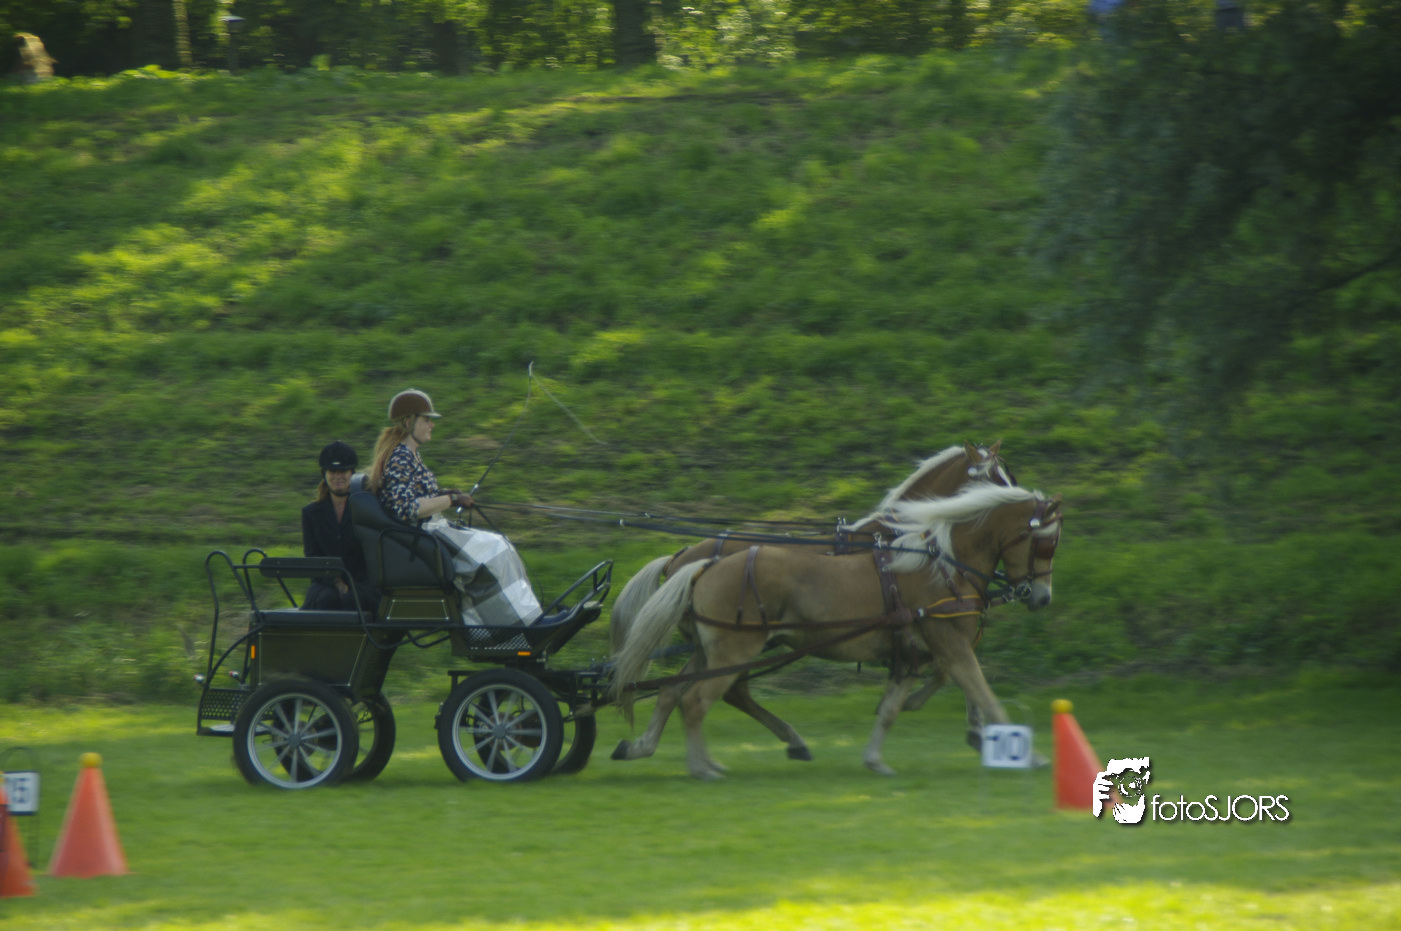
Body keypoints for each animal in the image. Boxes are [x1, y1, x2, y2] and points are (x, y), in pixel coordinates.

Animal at [609, 483, 1063, 779]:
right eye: (1046, 542)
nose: (1041, 597)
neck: (942, 566)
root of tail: (700, 564)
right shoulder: (951, 645)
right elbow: (985, 696)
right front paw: (1026, 753)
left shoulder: (912, 653)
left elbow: (892, 708)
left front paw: (875, 759)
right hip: (733, 652)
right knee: (697, 701)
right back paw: (703, 766)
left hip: (710, 652)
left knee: (674, 693)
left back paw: (649, 748)